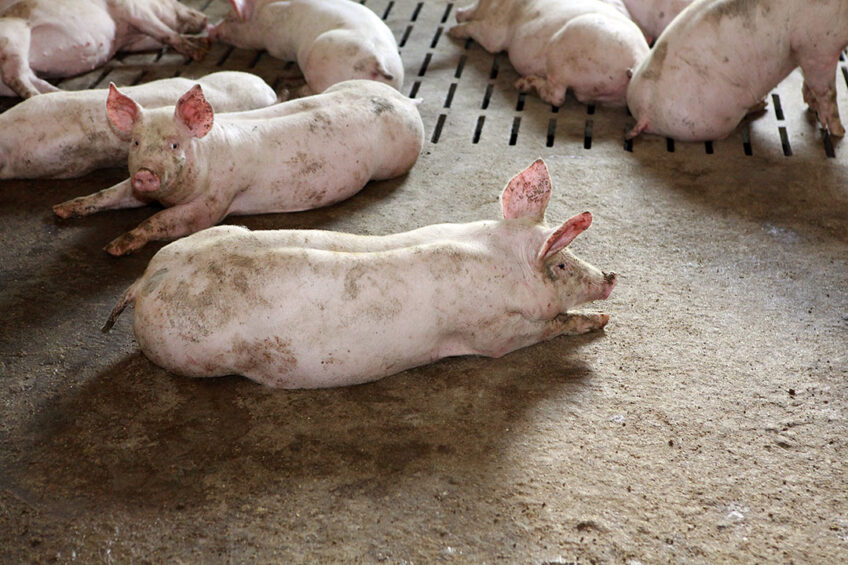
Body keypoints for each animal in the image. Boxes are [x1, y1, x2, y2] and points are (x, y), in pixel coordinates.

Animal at [0, 0, 209, 99]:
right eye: (174, 2)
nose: (205, 18)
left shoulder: (130, 42)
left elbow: (158, 38)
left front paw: (204, 42)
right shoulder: (133, 11)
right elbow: (165, 32)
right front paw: (199, 53)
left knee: (30, 78)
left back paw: (62, 94)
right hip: (12, 41)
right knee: (16, 79)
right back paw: (38, 97)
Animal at [53, 79, 424, 256]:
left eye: (175, 145)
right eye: (135, 143)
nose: (146, 173)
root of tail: (405, 99)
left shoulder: (216, 201)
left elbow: (164, 220)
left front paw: (114, 247)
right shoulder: (135, 190)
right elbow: (109, 193)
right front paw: (60, 210)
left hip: (398, 158)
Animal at [102, 159, 617, 389]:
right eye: (562, 264)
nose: (611, 275)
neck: (499, 256)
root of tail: (144, 281)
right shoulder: (493, 333)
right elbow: (545, 328)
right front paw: (599, 322)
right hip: (189, 351)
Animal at [448, 0, 649, 107]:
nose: (456, 11)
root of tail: (637, 60)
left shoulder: (495, 30)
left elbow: (480, 33)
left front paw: (452, 31)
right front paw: (459, 15)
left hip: (563, 56)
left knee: (556, 96)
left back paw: (523, 84)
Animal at [626, 0, 848, 141]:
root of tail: (644, 112)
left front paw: (813, 108)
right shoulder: (817, 45)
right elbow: (827, 91)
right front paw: (840, 132)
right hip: (716, 118)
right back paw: (761, 104)